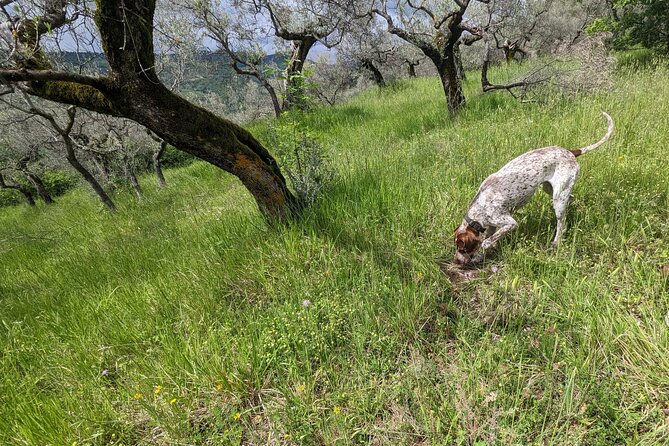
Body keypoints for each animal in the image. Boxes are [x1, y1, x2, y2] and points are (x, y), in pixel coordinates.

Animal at [452, 113, 612, 264]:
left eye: (462, 248)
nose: (456, 261)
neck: (480, 206)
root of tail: (570, 152)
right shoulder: (492, 225)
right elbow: (488, 239)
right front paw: (480, 257)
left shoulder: (510, 223)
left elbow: (486, 242)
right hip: (552, 190)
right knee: (570, 199)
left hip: (558, 198)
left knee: (561, 223)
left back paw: (556, 242)